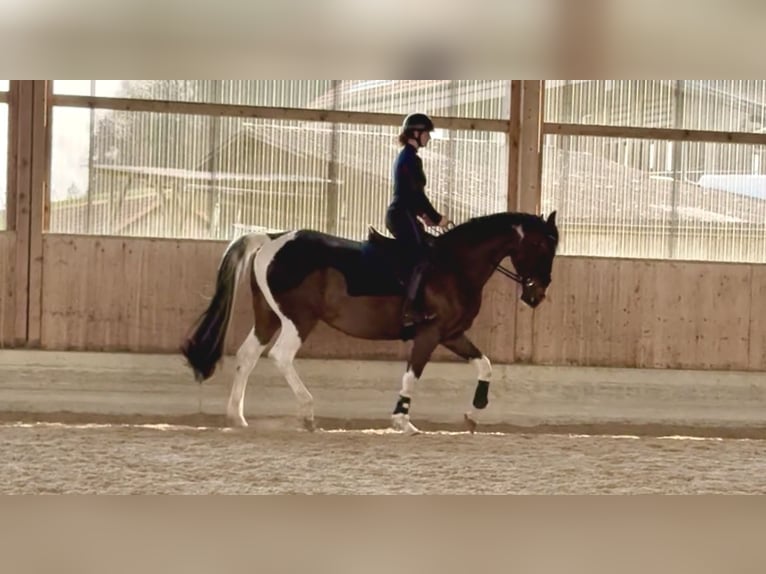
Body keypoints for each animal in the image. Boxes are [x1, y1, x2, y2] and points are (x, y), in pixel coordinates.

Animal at [181, 210, 559, 434]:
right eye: (541, 246)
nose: (537, 294)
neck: (455, 266)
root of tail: (272, 238)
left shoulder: (452, 334)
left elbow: (485, 365)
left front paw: (475, 412)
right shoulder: (431, 332)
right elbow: (412, 374)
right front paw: (402, 420)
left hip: (268, 316)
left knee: (247, 356)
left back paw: (237, 417)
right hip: (298, 319)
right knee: (280, 356)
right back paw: (307, 412)